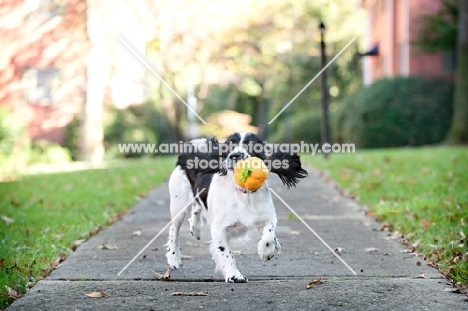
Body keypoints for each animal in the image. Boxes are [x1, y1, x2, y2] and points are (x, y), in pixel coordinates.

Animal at [165, 133, 308, 284]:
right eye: (230, 144)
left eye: (251, 144)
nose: (235, 155)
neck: (243, 193)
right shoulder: (219, 229)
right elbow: (226, 253)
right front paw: (234, 275)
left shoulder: (267, 217)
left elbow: (269, 235)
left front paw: (266, 252)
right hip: (178, 205)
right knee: (174, 230)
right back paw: (174, 258)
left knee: (196, 210)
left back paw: (196, 228)